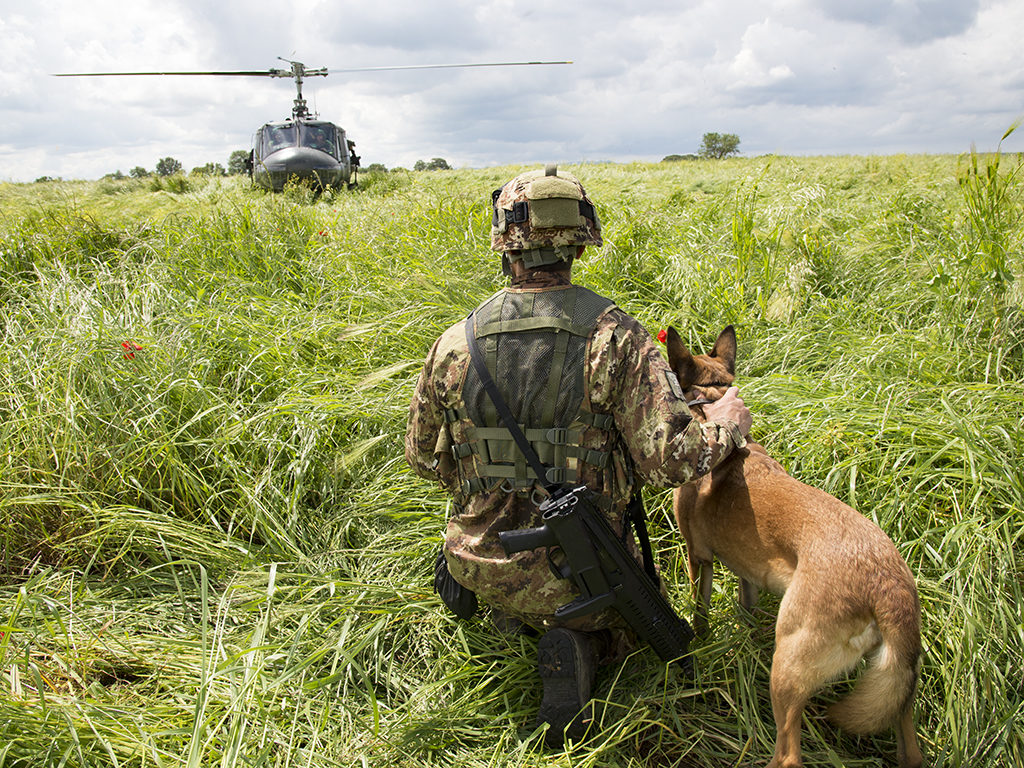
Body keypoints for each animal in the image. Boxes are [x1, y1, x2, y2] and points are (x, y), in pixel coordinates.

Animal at [667, 325, 925, 768]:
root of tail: (888, 586)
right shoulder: (748, 572)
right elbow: (747, 611)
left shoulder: (698, 557)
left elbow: (699, 612)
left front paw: (698, 640)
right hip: (898, 693)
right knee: (910, 749)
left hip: (787, 665)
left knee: (788, 753)